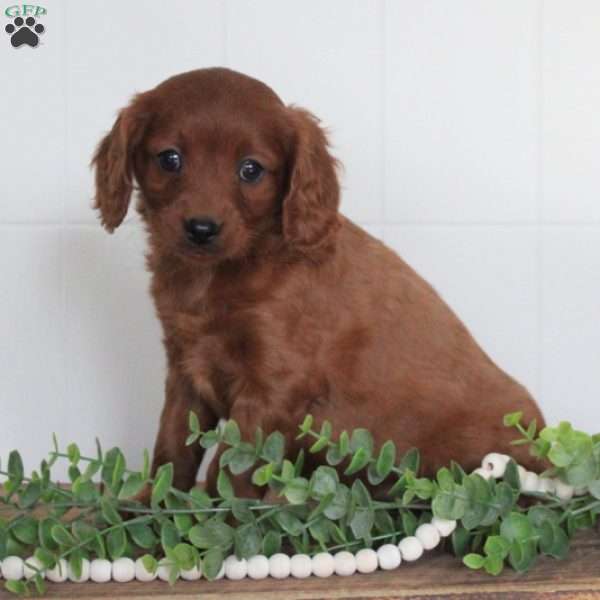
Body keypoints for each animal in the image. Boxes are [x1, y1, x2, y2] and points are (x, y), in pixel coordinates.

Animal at [92, 67, 544, 496]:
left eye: (250, 170)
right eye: (169, 159)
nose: (201, 228)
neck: (218, 274)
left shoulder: (275, 384)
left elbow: (231, 464)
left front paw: (217, 515)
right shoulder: (185, 367)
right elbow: (173, 446)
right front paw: (153, 503)